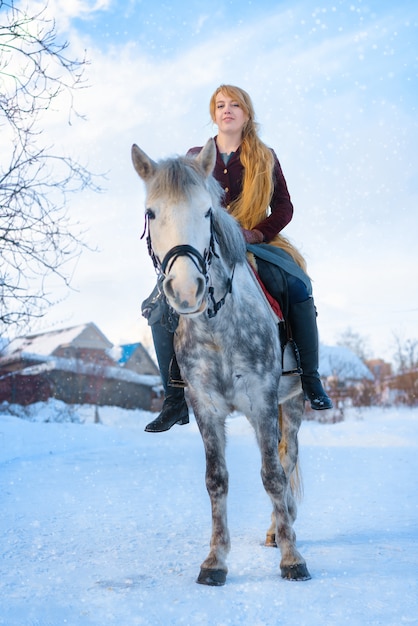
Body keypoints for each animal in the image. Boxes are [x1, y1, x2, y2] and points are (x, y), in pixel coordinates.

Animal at [131, 139, 310, 584]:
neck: (217, 325)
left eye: (207, 211)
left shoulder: (263, 402)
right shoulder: (205, 407)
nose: (185, 290)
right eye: (151, 213)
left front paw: (292, 558)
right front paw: (215, 561)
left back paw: (280, 529)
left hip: (294, 402)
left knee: (287, 458)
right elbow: (216, 480)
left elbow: (273, 476)